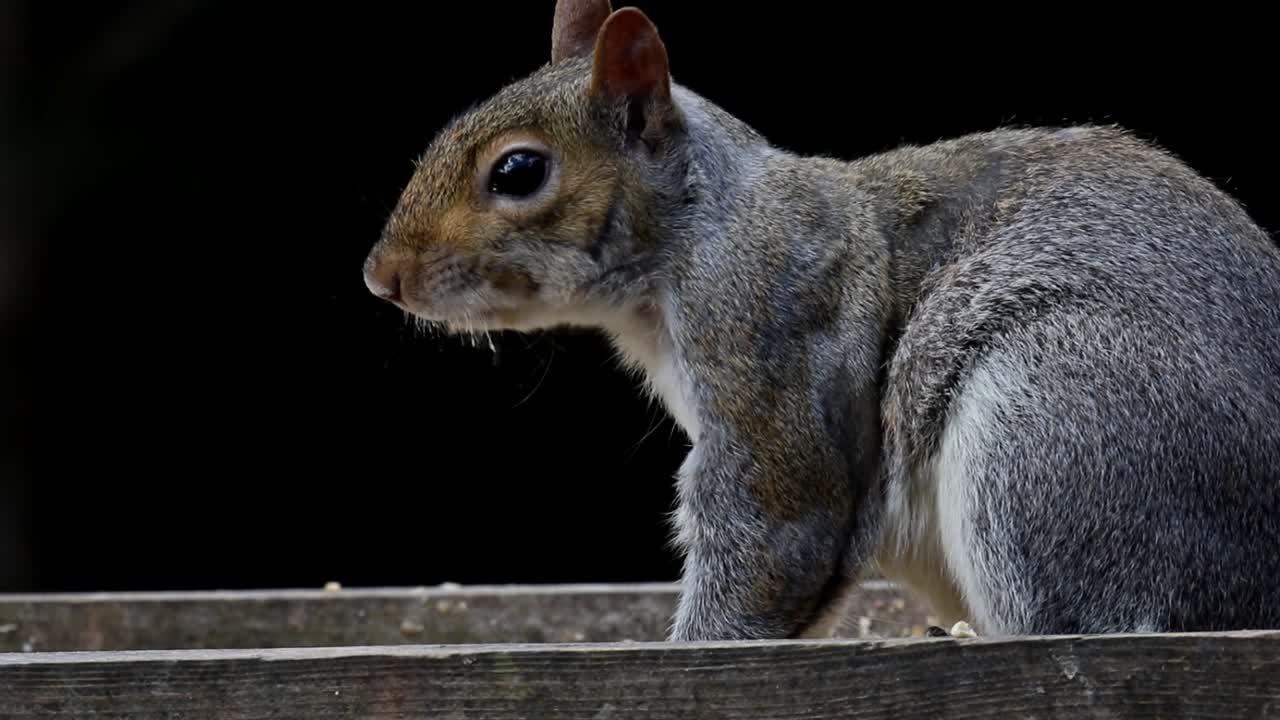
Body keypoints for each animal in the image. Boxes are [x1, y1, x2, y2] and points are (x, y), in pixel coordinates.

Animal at [363, 0, 1280, 641]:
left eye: (518, 171)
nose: (381, 277)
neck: (699, 227)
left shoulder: (769, 331)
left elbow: (774, 525)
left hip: (1059, 414)